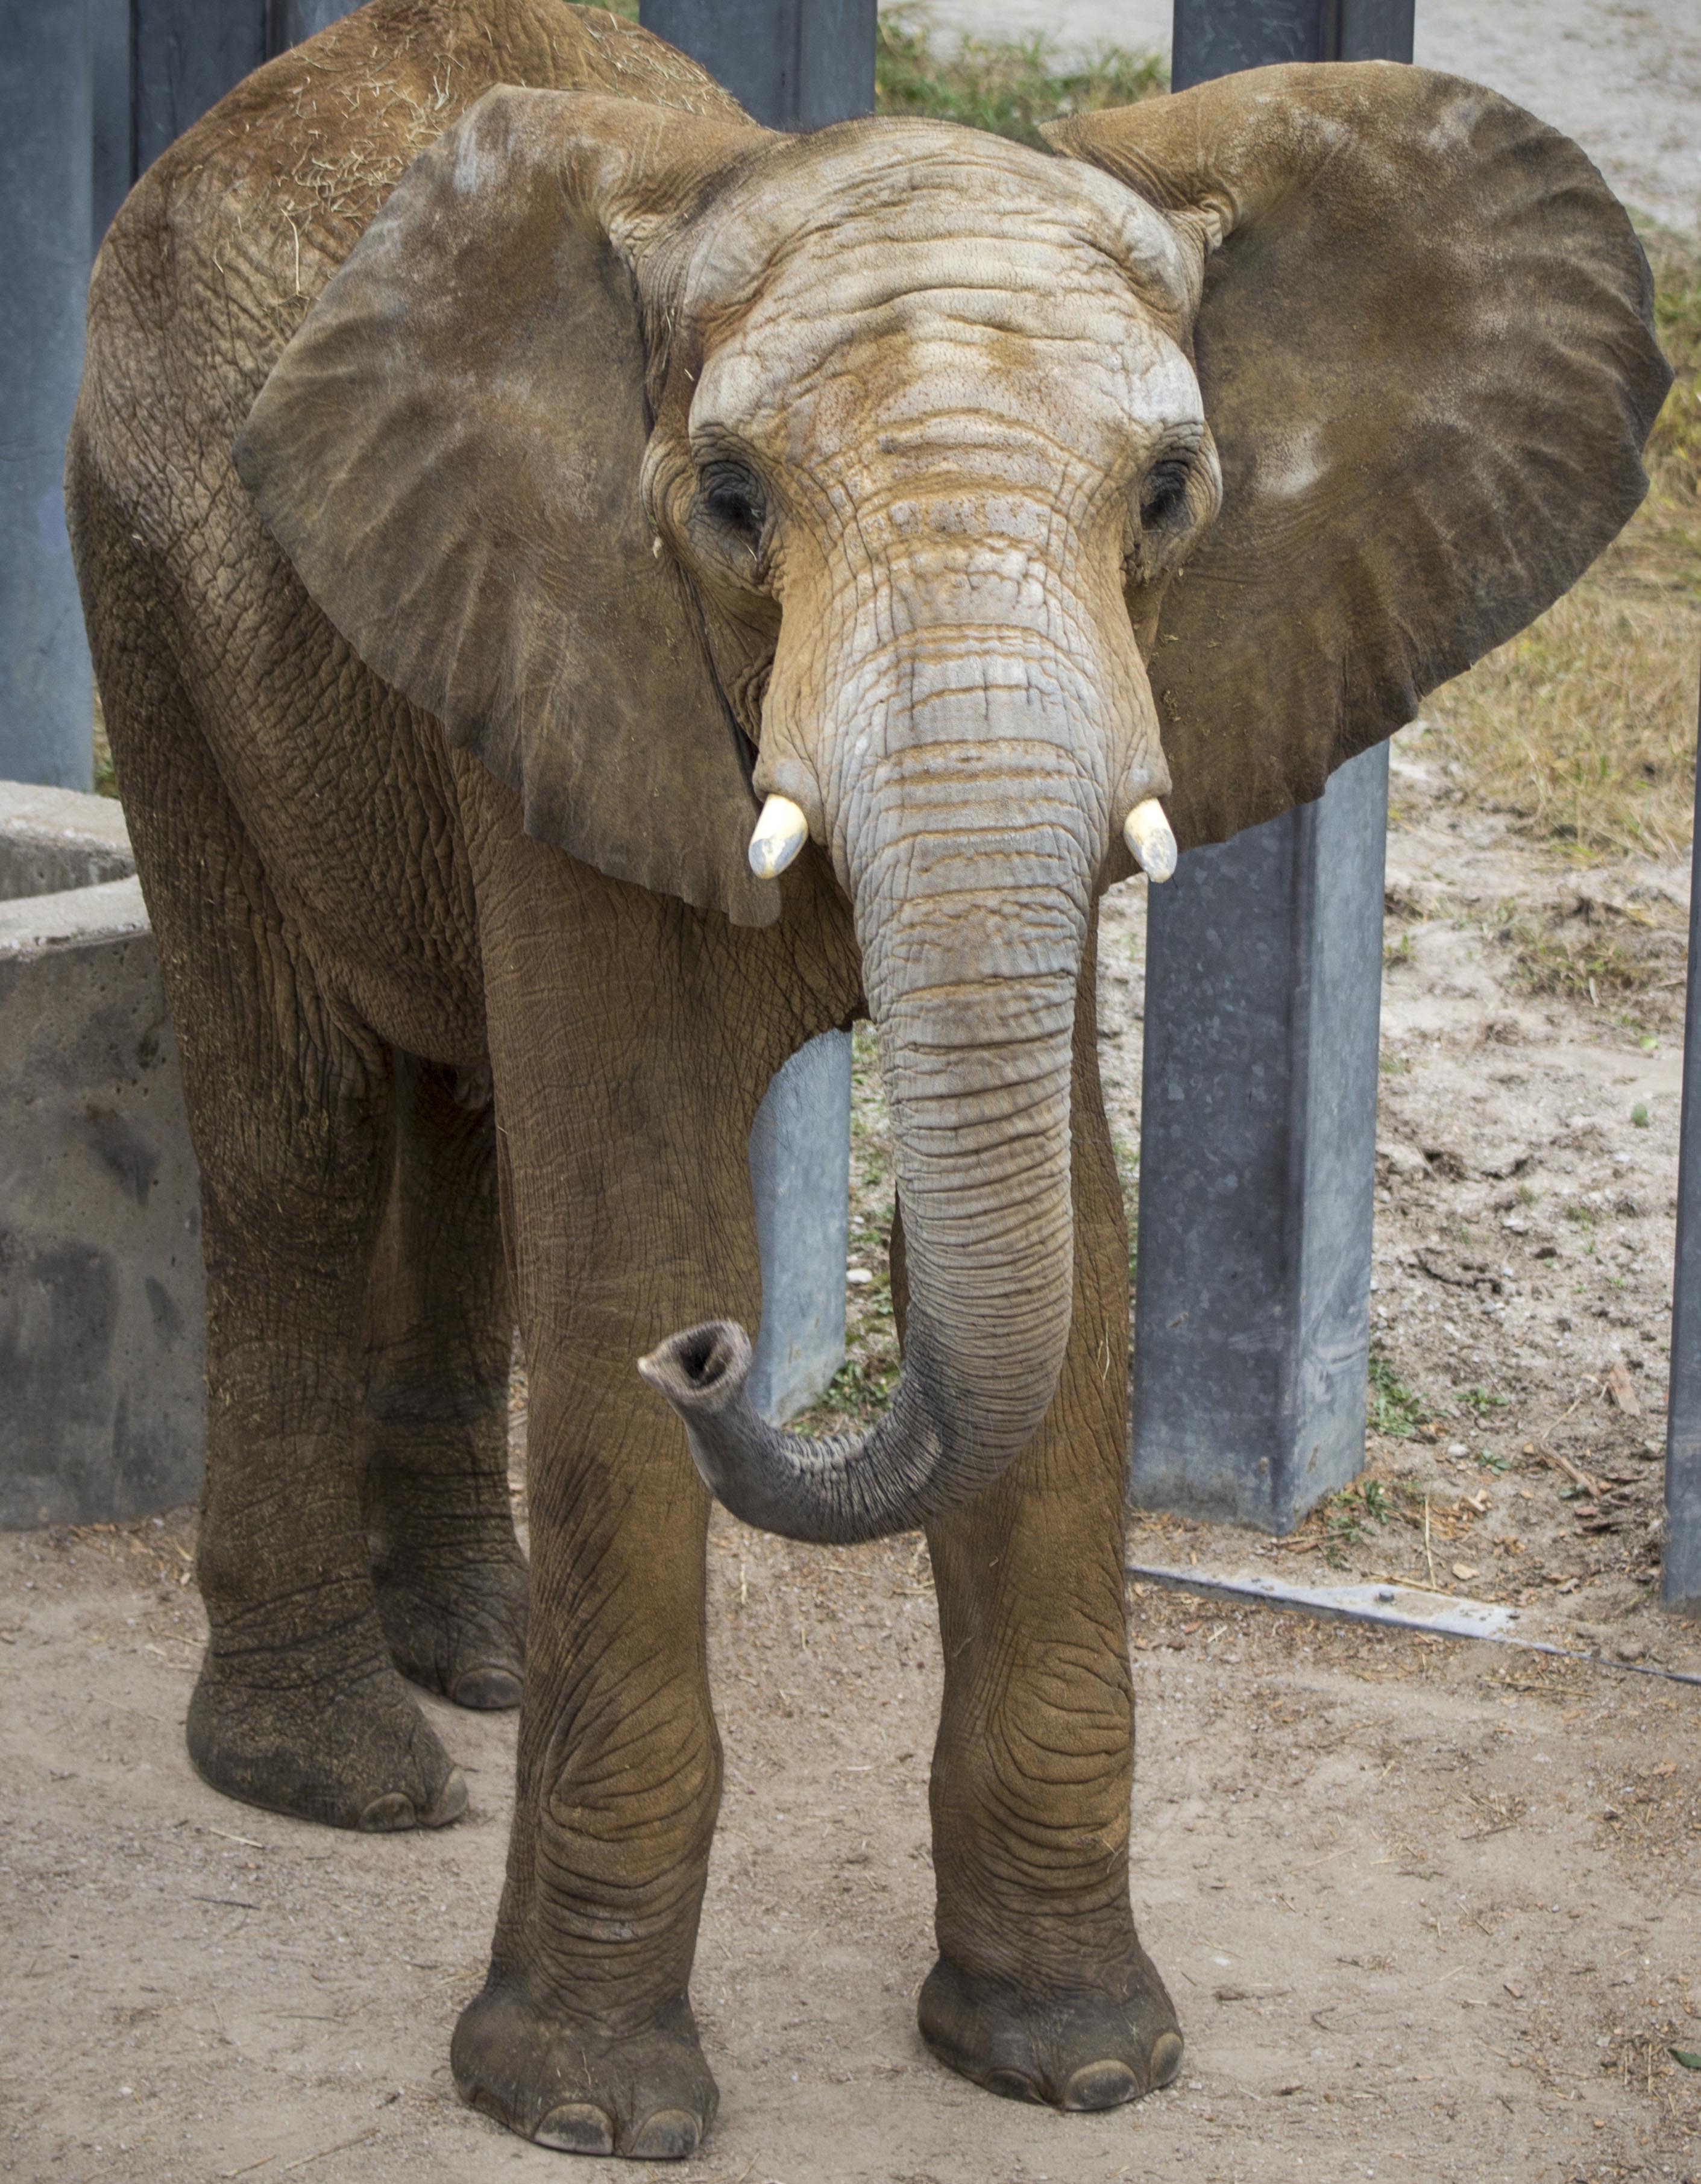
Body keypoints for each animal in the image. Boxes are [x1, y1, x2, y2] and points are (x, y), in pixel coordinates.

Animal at [66, 0, 1659, 2149]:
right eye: (732, 503)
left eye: (1169, 496)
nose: (727, 1362)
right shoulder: (570, 617)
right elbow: (636, 1229)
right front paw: (589, 2112)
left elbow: (1070, 1258)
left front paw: (1078, 2058)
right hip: (145, 572)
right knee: (303, 1122)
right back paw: (337, 1767)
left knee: (465, 1119)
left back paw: (475, 1659)